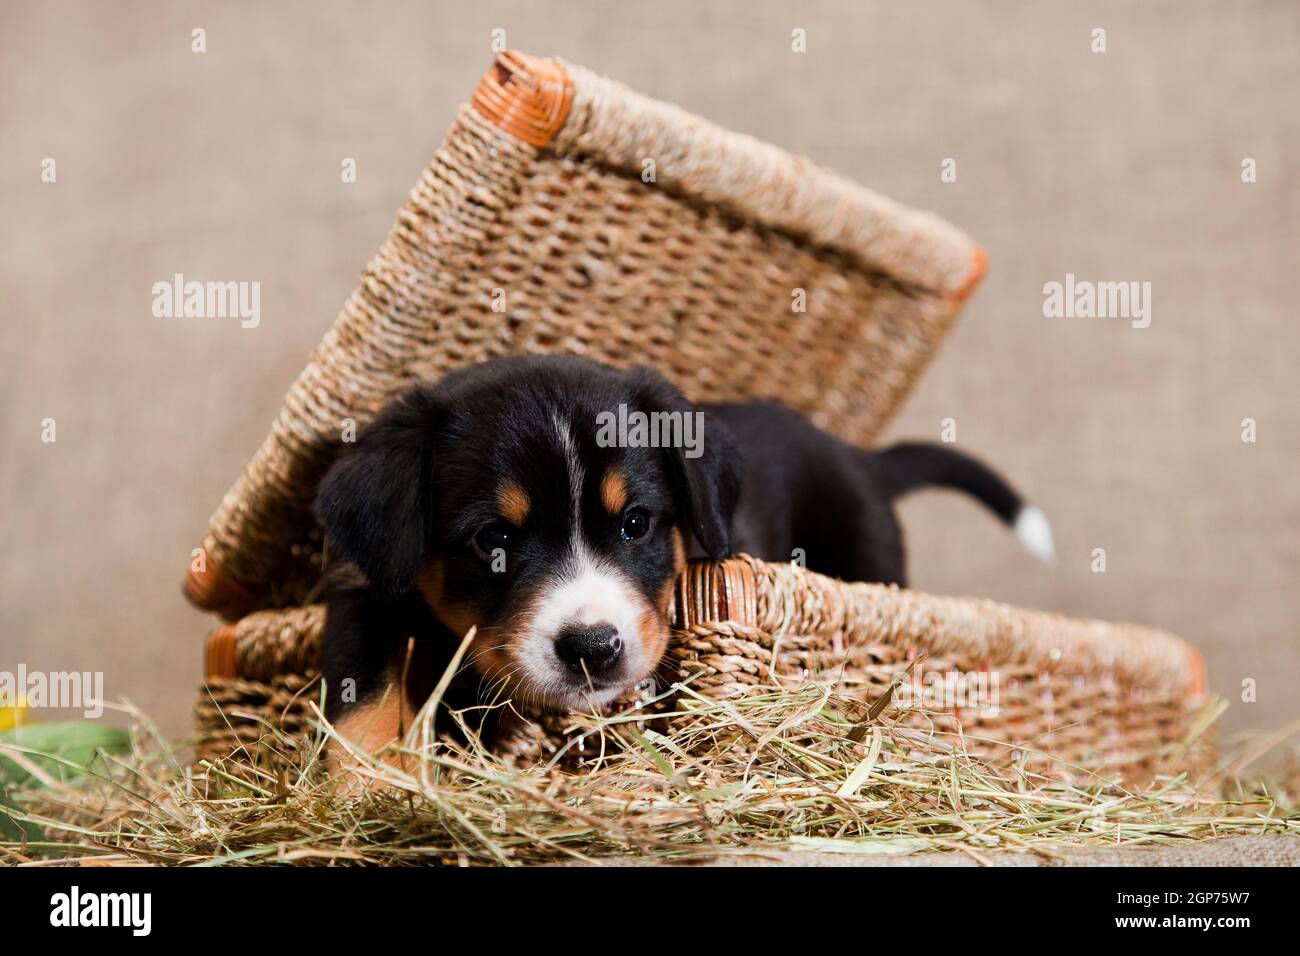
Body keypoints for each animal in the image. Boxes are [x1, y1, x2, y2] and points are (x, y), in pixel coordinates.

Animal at [317, 356, 1055, 759]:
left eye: (636, 523)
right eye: (491, 541)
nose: (592, 648)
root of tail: (860, 457)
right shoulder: (365, 594)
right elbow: (366, 700)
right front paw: (375, 788)